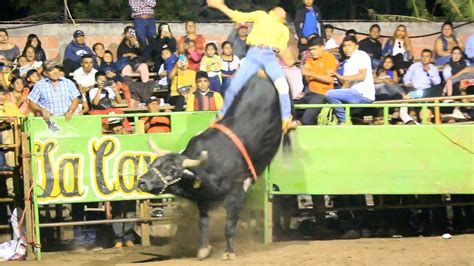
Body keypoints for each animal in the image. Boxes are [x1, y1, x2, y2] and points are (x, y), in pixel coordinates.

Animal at [137, 76, 288, 260]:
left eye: (172, 170)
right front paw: (204, 249)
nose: (142, 182)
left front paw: (229, 252)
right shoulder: (203, 200)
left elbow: (229, 226)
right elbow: (203, 224)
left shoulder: (236, 194)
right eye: (153, 164)